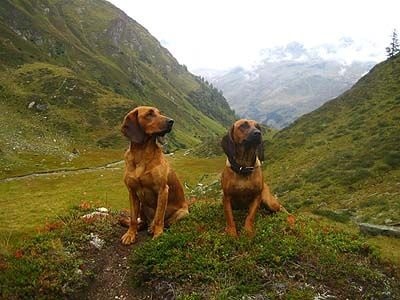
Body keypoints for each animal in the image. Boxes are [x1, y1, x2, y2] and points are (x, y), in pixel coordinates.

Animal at [119, 105, 188, 244]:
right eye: (149, 114)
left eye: (159, 113)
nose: (171, 121)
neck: (141, 154)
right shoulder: (132, 192)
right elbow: (133, 219)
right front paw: (130, 234)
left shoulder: (162, 190)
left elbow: (159, 218)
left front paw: (158, 234)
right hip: (142, 207)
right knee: (143, 222)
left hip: (182, 213)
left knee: (165, 221)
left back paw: (153, 228)